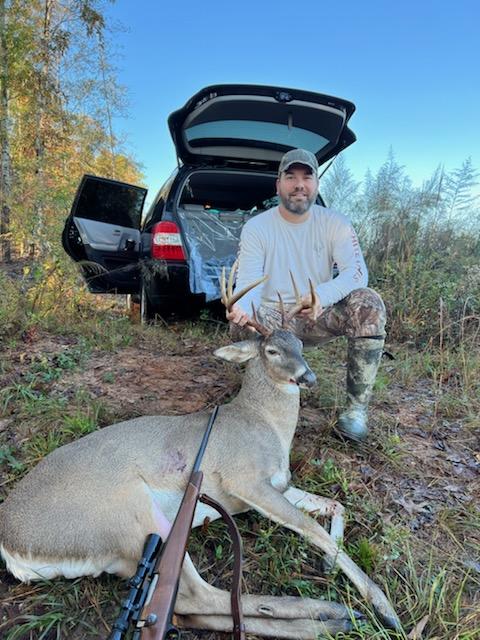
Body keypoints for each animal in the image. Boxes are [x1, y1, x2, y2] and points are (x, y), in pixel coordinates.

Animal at [0, 265, 401, 638]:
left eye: (301, 346)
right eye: (272, 350)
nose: (308, 377)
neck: (265, 424)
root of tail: (11, 546)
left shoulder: (280, 483)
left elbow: (336, 505)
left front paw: (330, 566)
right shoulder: (245, 479)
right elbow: (308, 527)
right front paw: (383, 605)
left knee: (190, 609)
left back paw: (330, 619)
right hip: (130, 516)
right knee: (196, 597)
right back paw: (333, 612)